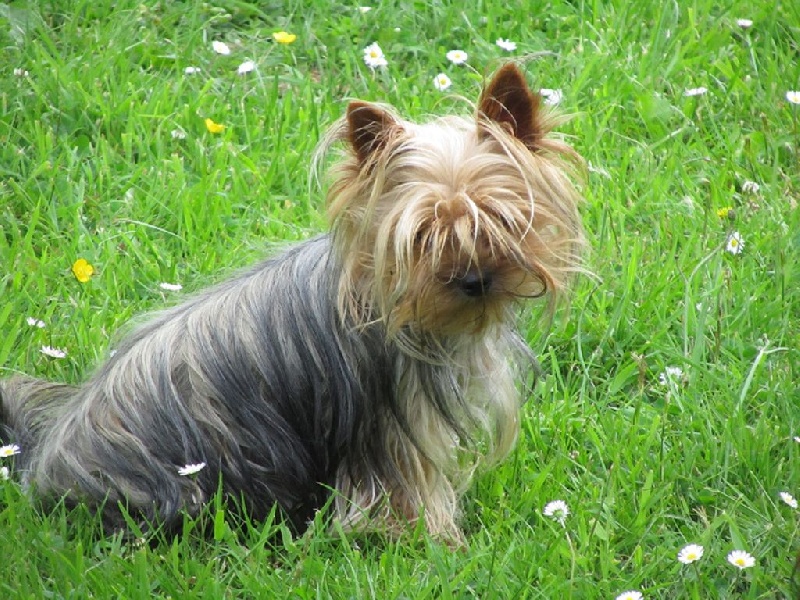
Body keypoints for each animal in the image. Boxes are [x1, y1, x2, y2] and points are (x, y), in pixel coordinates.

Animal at [3, 63, 584, 540]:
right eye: (422, 236)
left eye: (502, 220)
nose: (473, 280)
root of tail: (44, 465)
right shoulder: (390, 432)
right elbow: (408, 495)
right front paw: (440, 544)